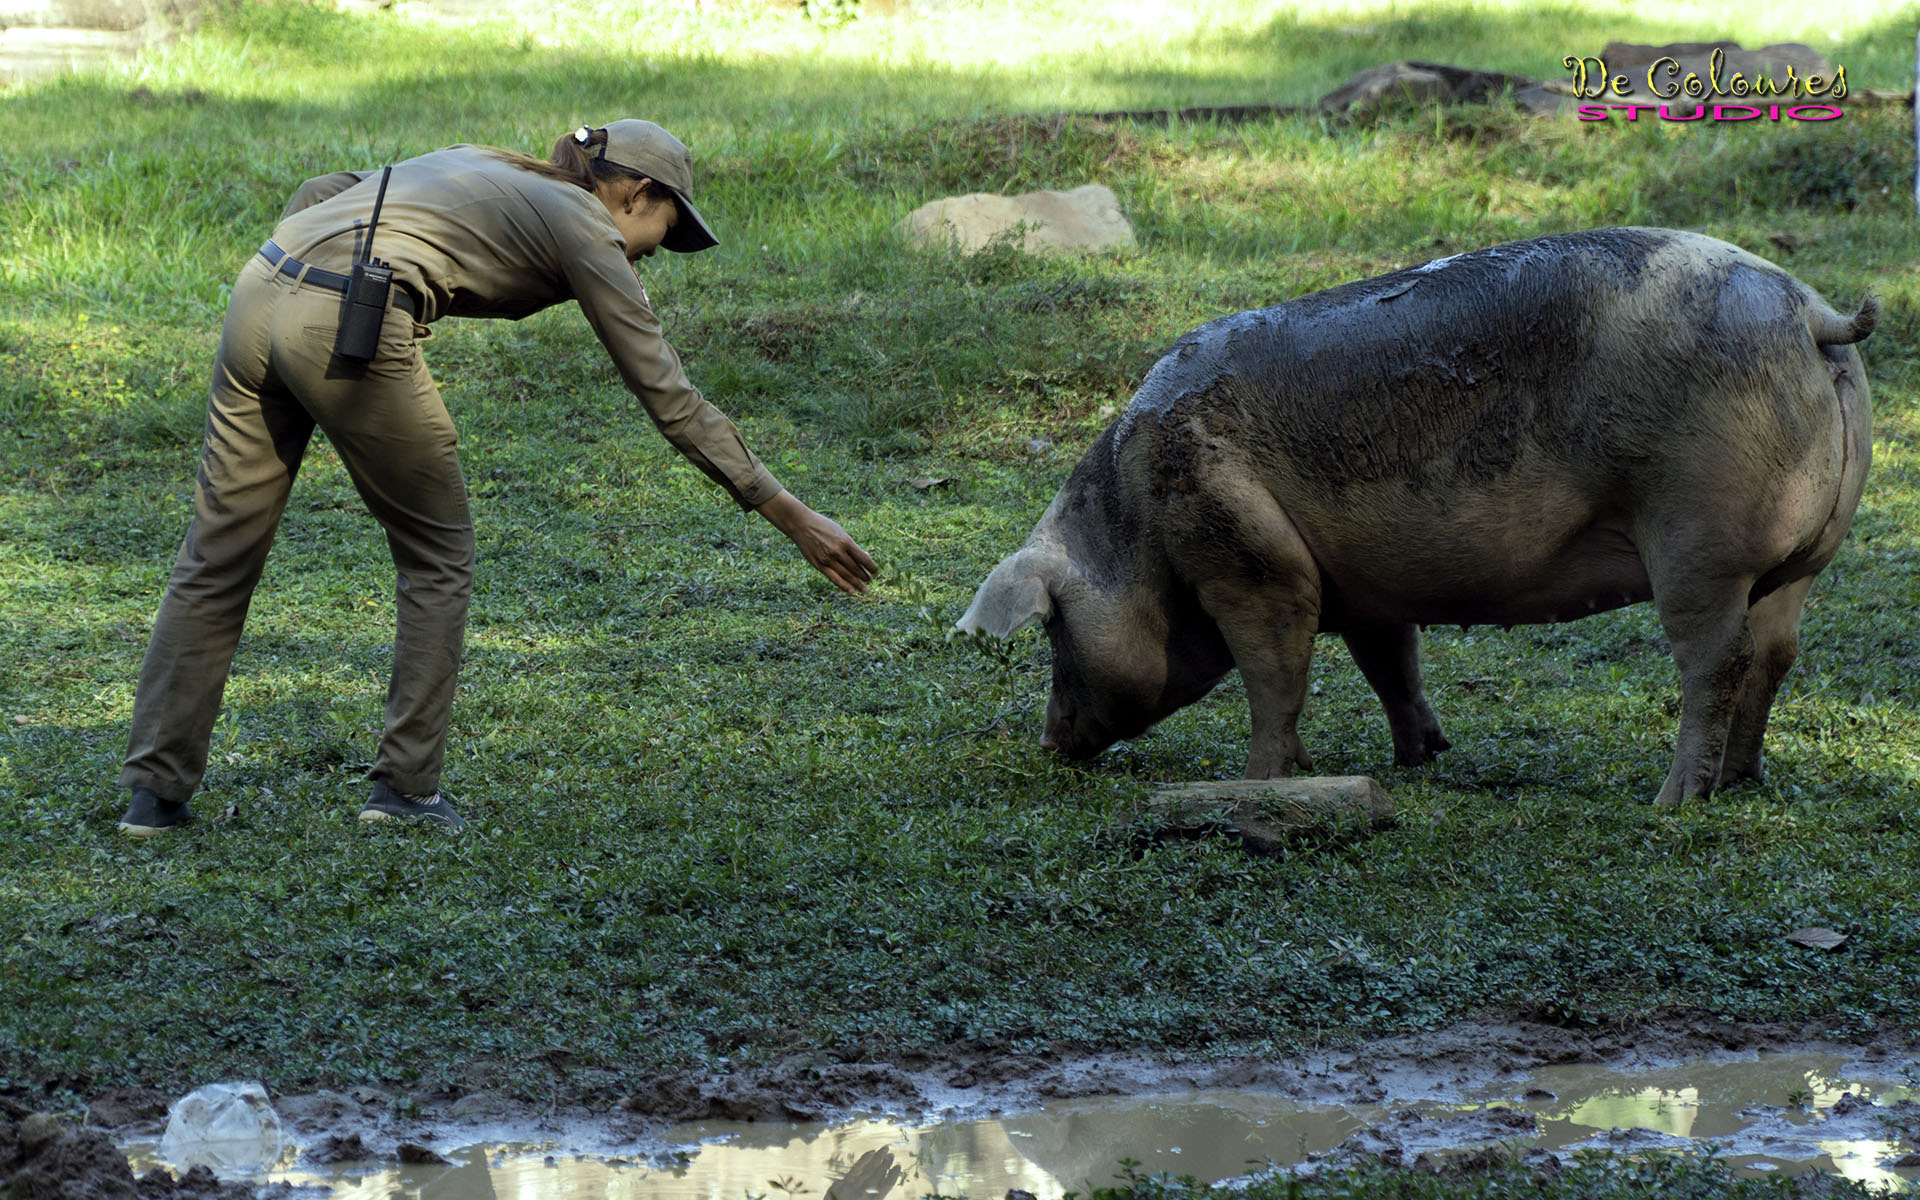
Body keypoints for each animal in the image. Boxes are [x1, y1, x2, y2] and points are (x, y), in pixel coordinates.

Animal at [952, 226, 1866, 806]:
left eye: (1052, 628)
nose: (1047, 743)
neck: (1137, 524)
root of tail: (1809, 312)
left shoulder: (1251, 559)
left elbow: (1274, 676)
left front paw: (1260, 781)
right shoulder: (1363, 588)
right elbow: (1392, 664)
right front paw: (1415, 759)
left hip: (1697, 539)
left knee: (1718, 657)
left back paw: (1674, 800)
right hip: (1804, 558)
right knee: (1777, 652)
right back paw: (1741, 779)